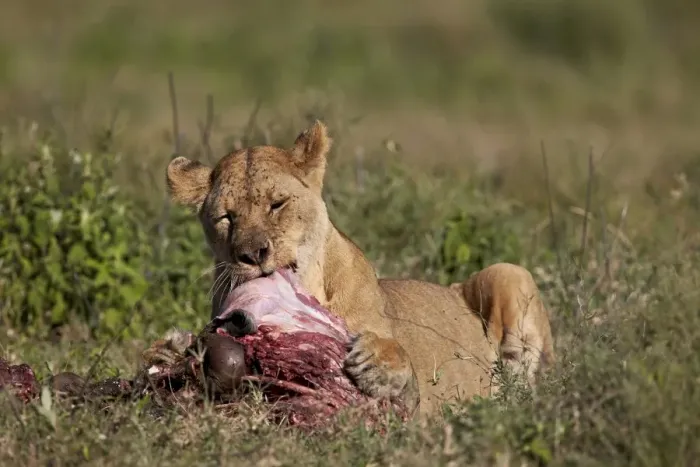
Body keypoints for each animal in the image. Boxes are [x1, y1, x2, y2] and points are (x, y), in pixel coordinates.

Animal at [145, 120, 555, 417]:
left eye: (277, 204)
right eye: (226, 217)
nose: (253, 254)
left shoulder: (418, 406)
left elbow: (402, 367)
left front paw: (376, 361)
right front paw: (168, 351)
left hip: (509, 273)